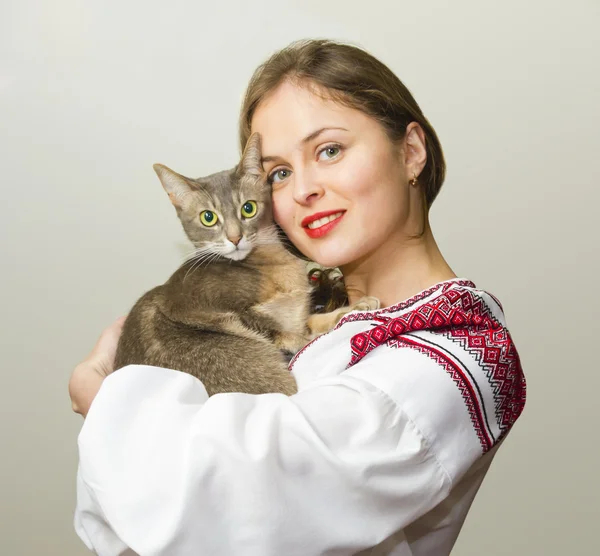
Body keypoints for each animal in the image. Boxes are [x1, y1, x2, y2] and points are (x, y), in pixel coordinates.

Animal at [114, 134, 378, 396]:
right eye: (208, 218)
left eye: (248, 208)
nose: (235, 238)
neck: (272, 262)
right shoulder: (209, 310)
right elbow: (280, 331)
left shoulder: (295, 312)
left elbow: (310, 322)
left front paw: (355, 308)